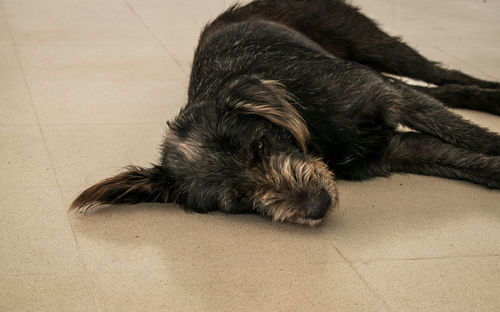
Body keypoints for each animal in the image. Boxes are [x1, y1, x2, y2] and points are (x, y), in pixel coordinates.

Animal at [71, 0, 500, 225]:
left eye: (260, 146)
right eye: (240, 199)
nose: (318, 206)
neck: (314, 132)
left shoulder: (388, 98)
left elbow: (472, 137)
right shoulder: (394, 151)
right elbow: (466, 159)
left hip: (375, 46)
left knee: (445, 76)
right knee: (444, 89)